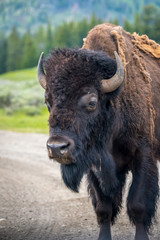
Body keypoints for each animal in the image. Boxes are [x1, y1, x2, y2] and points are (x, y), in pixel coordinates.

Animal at [37, 23, 159, 240]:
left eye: (92, 101)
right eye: (47, 101)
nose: (57, 147)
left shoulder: (144, 156)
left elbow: (138, 205)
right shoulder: (93, 165)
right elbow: (103, 209)